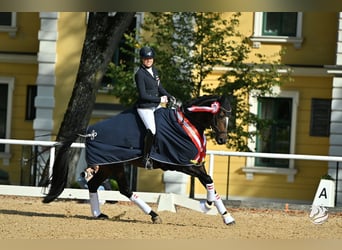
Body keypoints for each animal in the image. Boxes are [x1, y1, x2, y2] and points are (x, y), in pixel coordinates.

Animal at [42, 94, 235, 226]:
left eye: (229, 117)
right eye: (219, 116)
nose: (222, 140)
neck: (185, 124)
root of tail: (90, 131)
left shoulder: (195, 164)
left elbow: (210, 181)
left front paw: (226, 216)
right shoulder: (180, 164)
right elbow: (208, 179)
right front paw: (207, 205)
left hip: (108, 166)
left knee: (95, 185)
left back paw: (99, 214)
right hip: (115, 165)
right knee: (124, 189)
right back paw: (153, 215)